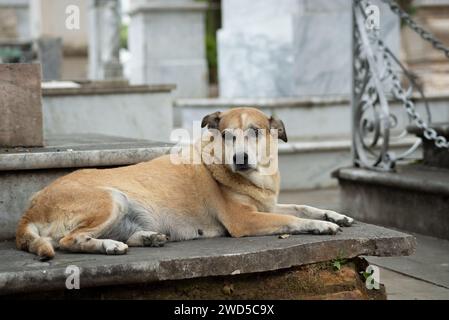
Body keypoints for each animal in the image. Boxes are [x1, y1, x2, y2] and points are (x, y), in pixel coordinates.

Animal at [14, 107, 354, 260]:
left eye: (255, 132)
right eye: (228, 135)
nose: (240, 158)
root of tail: (31, 207)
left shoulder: (268, 205)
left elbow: (303, 206)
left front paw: (335, 215)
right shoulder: (245, 220)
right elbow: (292, 219)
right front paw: (322, 226)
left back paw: (148, 238)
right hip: (112, 199)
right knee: (68, 240)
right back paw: (109, 246)